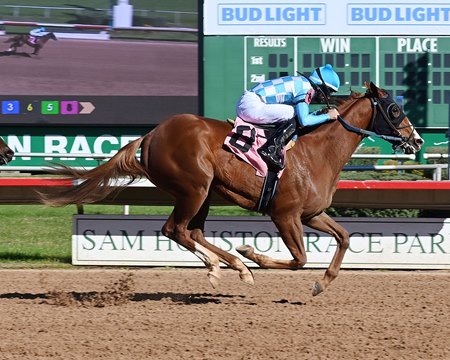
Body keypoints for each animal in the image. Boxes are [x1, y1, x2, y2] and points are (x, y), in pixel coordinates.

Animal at [40, 81, 424, 296]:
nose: (417, 140)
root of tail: (150, 135)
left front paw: (321, 284)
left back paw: (227, 266)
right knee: (176, 229)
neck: (317, 152)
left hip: (205, 193)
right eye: (394, 108)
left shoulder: (311, 214)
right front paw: (252, 253)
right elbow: (299, 259)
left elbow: (343, 238)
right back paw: (229, 264)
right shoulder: (284, 214)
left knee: (191, 231)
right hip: (194, 188)